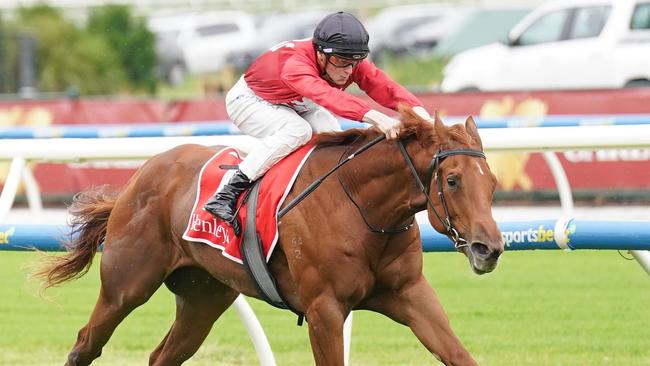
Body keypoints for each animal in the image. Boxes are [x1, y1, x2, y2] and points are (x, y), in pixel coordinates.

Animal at [34, 107, 502, 364]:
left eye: (493, 183)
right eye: (453, 180)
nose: (490, 248)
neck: (361, 206)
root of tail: (139, 176)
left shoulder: (409, 293)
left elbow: (458, 355)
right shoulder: (325, 309)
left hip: (204, 297)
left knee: (162, 355)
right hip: (125, 286)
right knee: (86, 344)